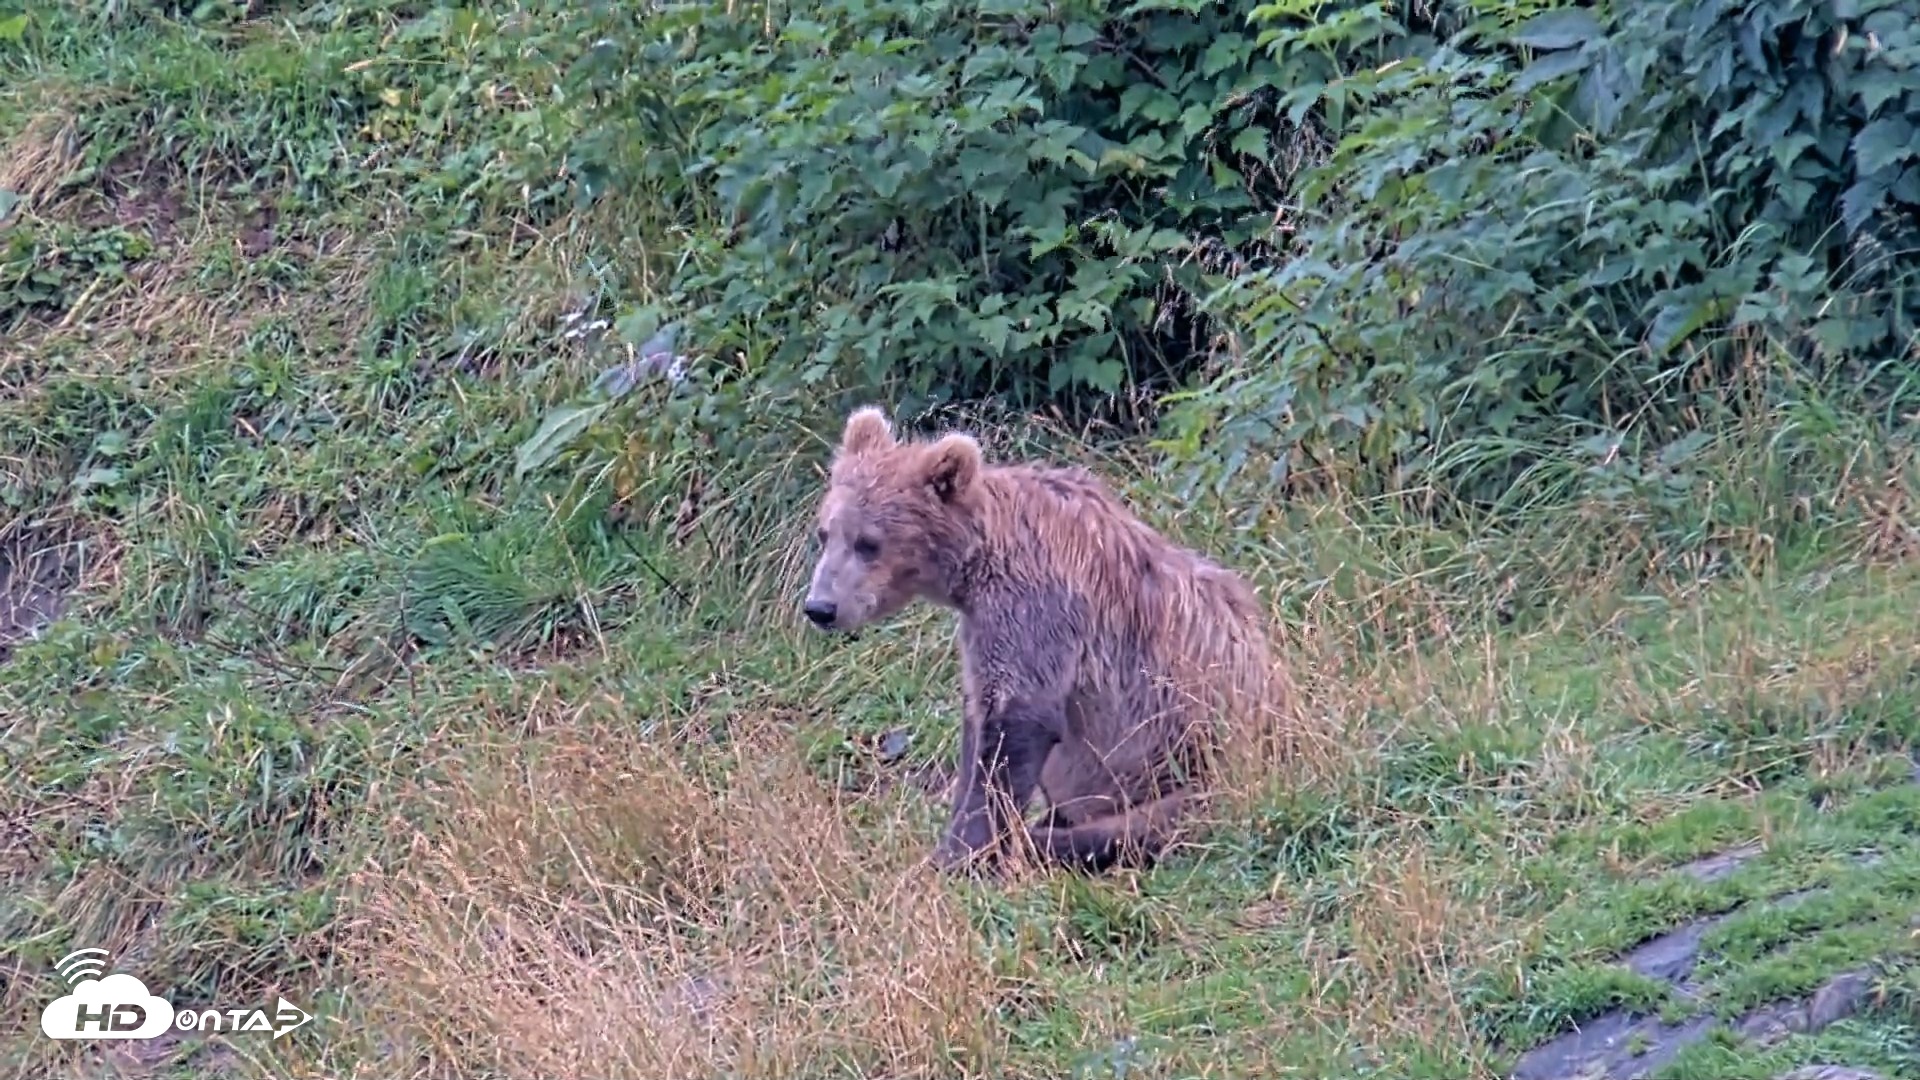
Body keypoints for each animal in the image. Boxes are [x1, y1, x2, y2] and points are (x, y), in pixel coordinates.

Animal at [801, 405, 1284, 875]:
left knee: (1137, 825)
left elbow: (1016, 725)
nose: (820, 607)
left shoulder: (1036, 609)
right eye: (825, 532)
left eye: (868, 543)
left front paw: (957, 855)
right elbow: (978, 723)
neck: (977, 563)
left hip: (1186, 762)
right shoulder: (981, 626)